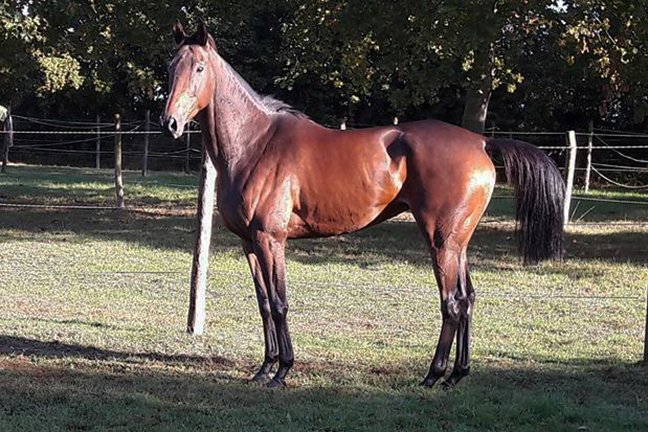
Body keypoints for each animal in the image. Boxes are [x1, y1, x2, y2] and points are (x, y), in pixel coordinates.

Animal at [160, 21, 565, 388]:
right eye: (170, 66)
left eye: (199, 68)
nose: (170, 123)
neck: (254, 143)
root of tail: (480, 141)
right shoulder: (249, 243)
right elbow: (263, 304)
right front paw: (263, 369)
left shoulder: (270, 240)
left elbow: (279, 303)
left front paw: (282, 371)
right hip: (458, 243)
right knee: (467, 299)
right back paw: (456, 376)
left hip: (442, 242)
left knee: (451, 303)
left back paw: (432, 376)